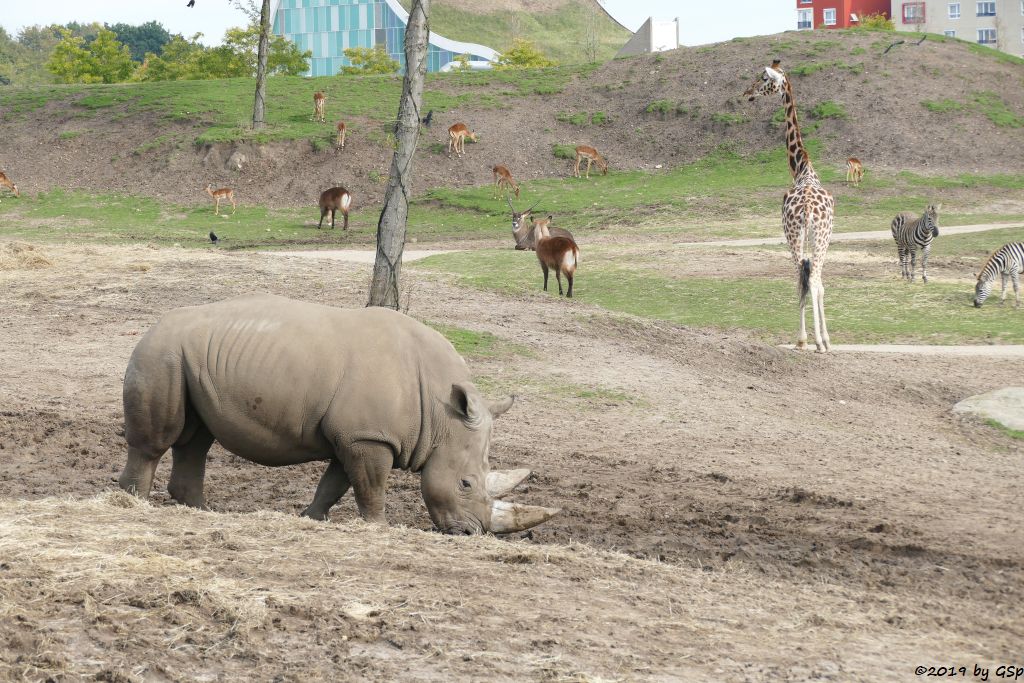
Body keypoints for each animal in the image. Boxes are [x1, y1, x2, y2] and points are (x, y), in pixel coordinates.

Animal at [745, 60, 831, 352]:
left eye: (763, 79)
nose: (747, 93)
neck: (802, 168)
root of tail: (806, 209)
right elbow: (818, 284)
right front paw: (824, 338)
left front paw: (819, 338)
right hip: (810, 237)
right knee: (810, 279)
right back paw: (813, 340)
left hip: (799, 237)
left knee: (804, 278)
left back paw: (808, 339)